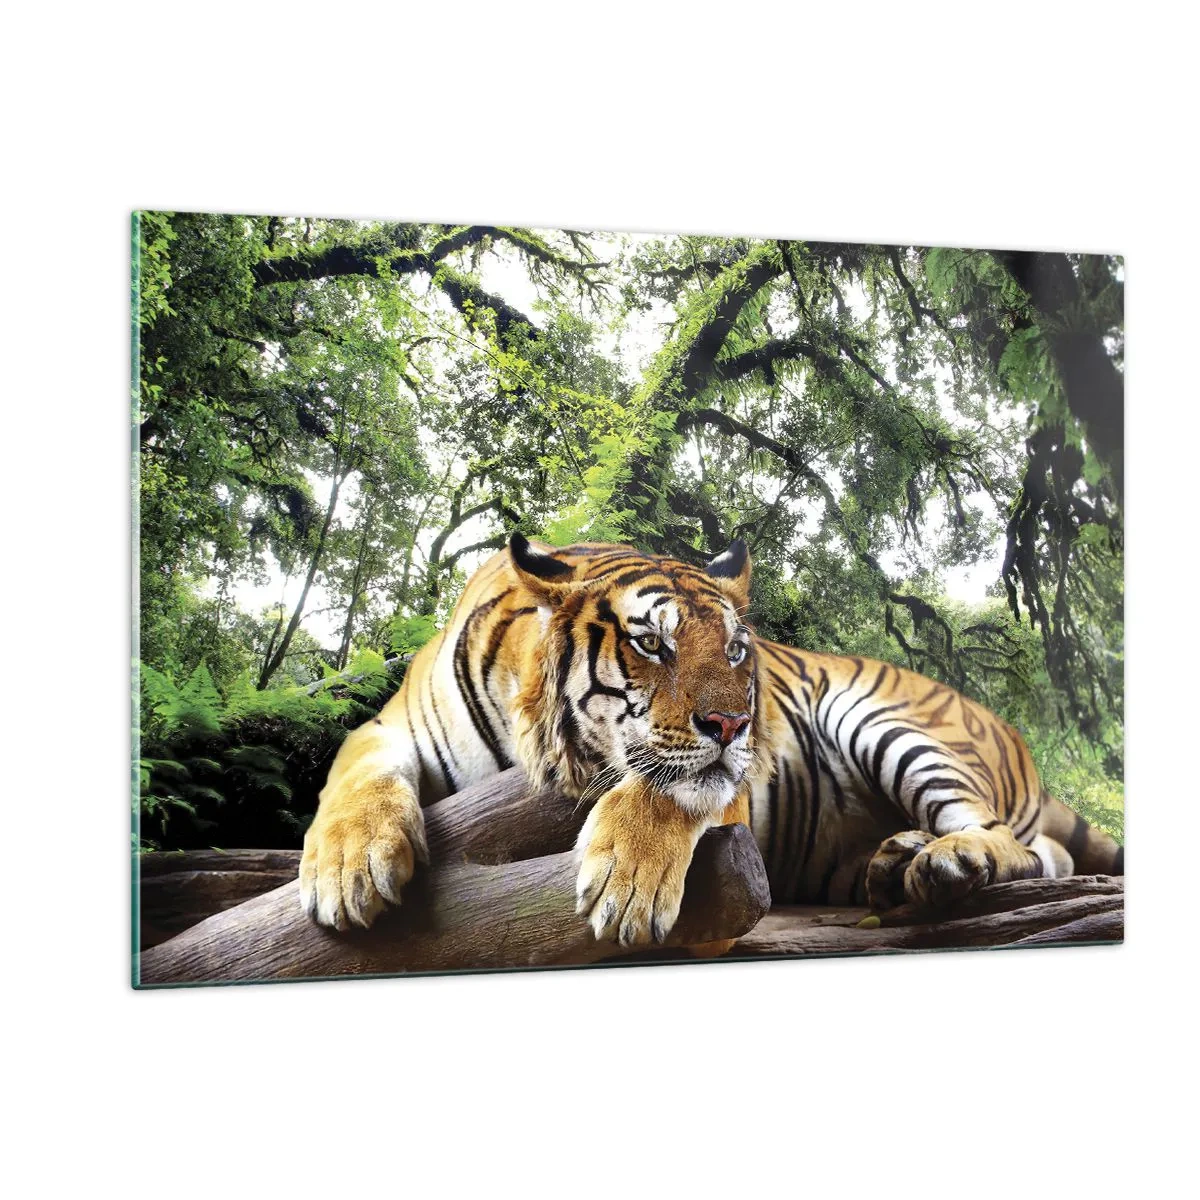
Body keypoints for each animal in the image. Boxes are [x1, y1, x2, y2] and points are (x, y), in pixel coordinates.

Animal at [299, 535, 1123, 949]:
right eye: (651, 644)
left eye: (733, 651)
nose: (733, 726)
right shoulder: (388, 727)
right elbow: (354, 777)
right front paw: (347, 871)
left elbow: (668, 792)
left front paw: (626, 887)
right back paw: (895, 863)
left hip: (889, 721)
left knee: (1017, 846)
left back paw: (947, 861)